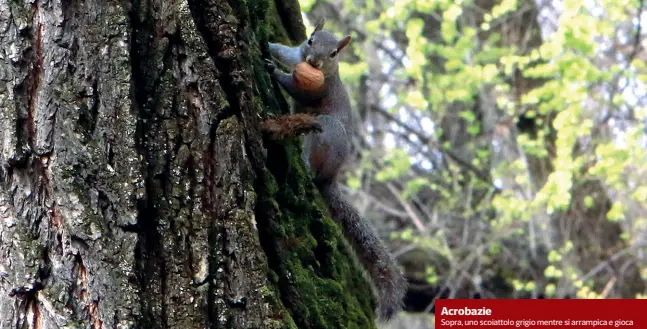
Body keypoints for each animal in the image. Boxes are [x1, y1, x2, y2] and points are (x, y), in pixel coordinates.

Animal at [260, 17, 408, 320]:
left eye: (334, 53)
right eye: (310, 40)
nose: (314, 62)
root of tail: (331, 176)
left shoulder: (317, 88)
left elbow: (295, 87)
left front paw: (274, 70)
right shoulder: (295, 53)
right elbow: (284, 51)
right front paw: (268, 46)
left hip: (324, 131)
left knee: (311, 161)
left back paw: (304, 164)